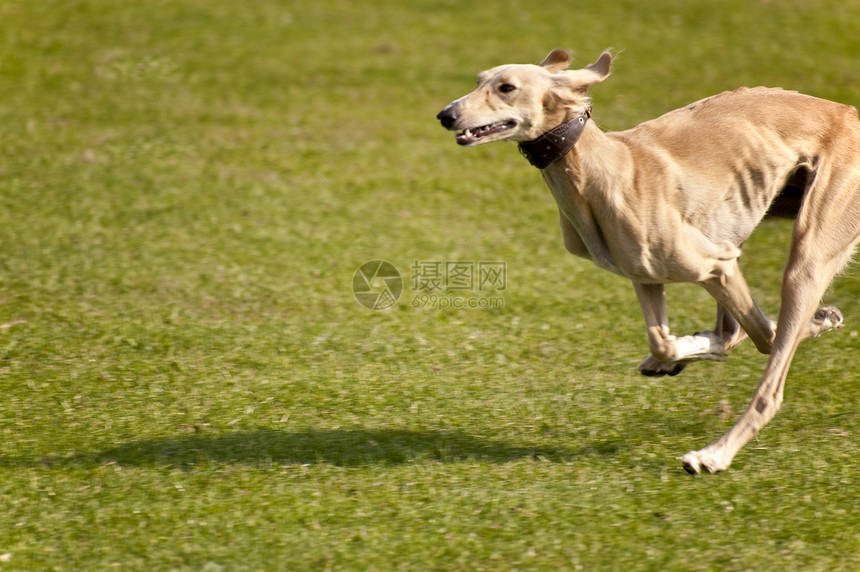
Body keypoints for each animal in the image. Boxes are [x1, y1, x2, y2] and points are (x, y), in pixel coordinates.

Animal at [436, 50, 860, 474]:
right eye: (478, 80)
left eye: (506, 87)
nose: (445, 115)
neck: (600, 165)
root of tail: (848, 111)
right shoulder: (647, 274)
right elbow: (664, 343)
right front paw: (682, 352)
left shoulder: (717, 265)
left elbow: (766, 337)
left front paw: (818, 322)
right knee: (730, 329)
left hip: (806, 258)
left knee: (769, 377)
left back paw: (713, 455)